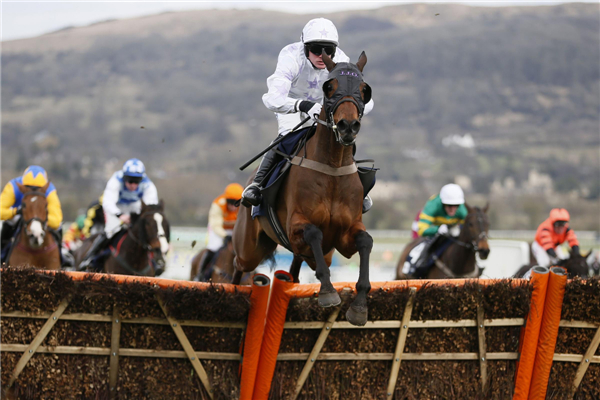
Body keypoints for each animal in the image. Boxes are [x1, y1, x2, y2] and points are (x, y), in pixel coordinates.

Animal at [232, 51, 372, 326]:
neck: (332, 168)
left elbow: (365, 240)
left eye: (363, 89)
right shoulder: (296, 226)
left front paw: (359, 306)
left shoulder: (344, 236)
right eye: (330, 87)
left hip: (315, 254)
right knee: (238, 263)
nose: (347, 126)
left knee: (295, 273)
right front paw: (328, 292)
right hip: (249, 247)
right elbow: (314, 232)